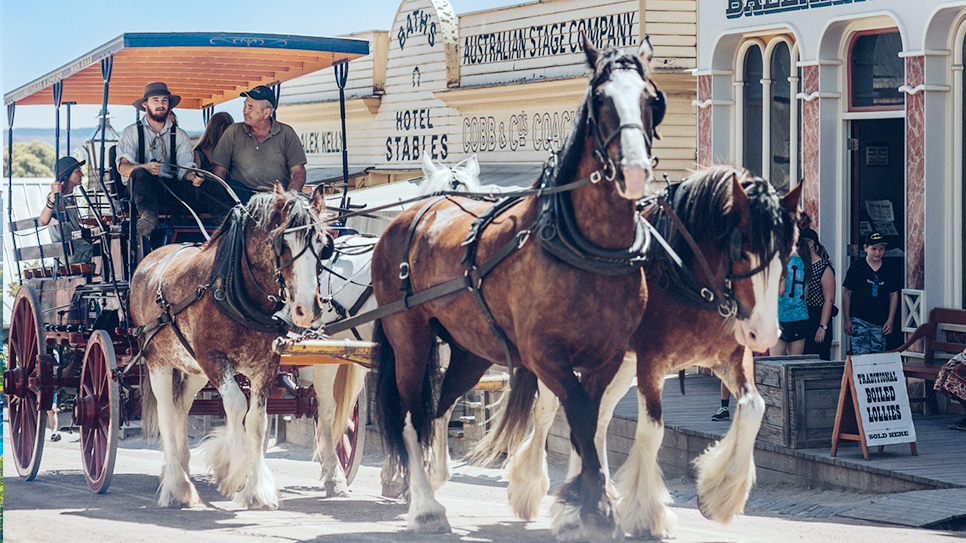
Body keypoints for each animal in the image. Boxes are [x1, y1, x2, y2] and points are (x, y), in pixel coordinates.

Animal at [130, 187, 332, 510]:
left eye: (323, 244)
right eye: (282, 243)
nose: (307, 310)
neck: (236, 289)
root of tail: (150, 258)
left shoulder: (265, 365)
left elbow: (258, 421)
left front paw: (257, 489)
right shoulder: (214, 359)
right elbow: (237, 405)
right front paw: (234, 473)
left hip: (193, 369)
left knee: (180, 407)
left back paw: (181, 469)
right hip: (158, 361)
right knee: (165, 412)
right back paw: (175, 485)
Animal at [368, 37, 664, 540]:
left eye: (651, 99)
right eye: (600, 99)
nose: (636, 170)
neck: (586, 247)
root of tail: (411, 214)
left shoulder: (606, 355)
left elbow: (590, 423)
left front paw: (583, 504)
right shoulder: (545, 354)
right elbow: (579, 414)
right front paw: (591, 506)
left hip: (470, 349)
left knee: (439, 408)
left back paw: (434, 478)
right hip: (408, 336)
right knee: (411, 415)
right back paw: (425, 506)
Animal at [484, 166, 800, 540]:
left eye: (787, 251)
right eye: (741, 247)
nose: (764, 333)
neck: (687, 275)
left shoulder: (731, 358)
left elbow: (754, 408)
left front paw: (719, 494)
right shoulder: (652, 363)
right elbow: (652, 432)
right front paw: (647, 514)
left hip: (619, 365)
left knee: (596, 419)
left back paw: (587, 499)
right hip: (561, 360)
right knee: (549, 413)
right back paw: (536, 490)